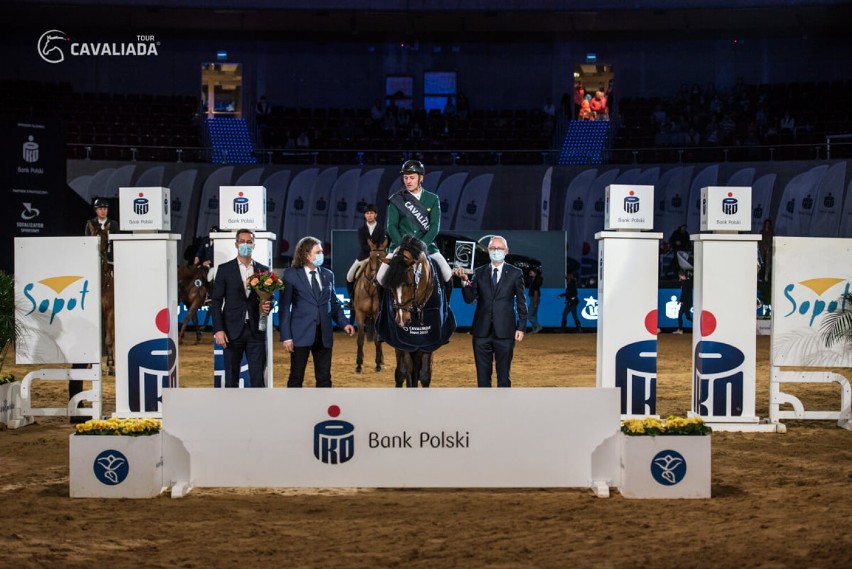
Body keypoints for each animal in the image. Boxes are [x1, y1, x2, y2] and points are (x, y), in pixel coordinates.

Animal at [352, 235, 390, 372]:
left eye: (385, 257)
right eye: (371, 257)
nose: (376, 279)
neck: (370, 289)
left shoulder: (377, 314)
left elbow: (377, 340)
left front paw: (378, 364)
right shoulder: (359, 313)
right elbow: (360, 339)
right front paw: (358, 364)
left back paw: (381, 359)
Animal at [378, 234, 456, 386]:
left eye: (409, 282)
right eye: (390, 286)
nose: (402, 320)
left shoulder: (429, 342)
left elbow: (424, 375)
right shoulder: (402, 342)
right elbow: (407, 372)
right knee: (401, 372)